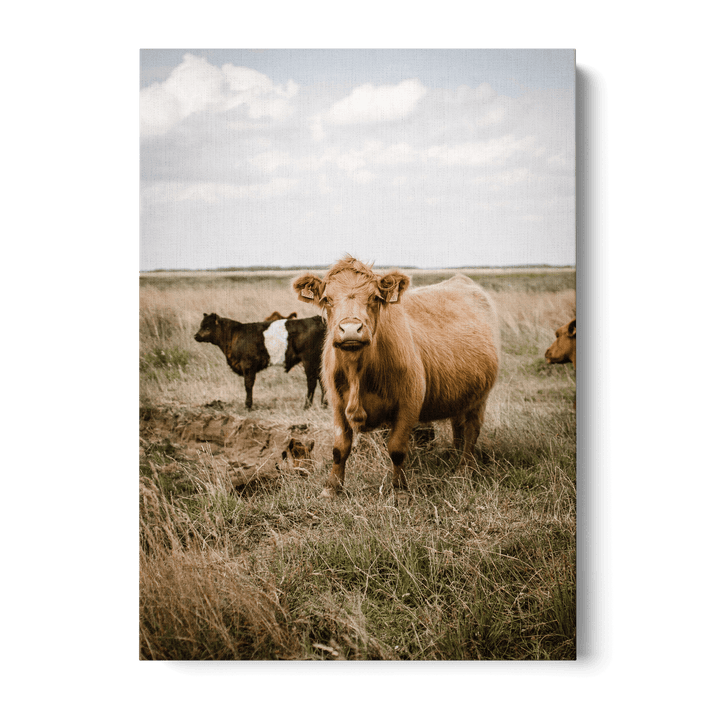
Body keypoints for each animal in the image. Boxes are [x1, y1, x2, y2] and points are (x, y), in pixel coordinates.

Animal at [193, 313, 326, 410]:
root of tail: (316, 318)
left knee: (312, 382)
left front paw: (248, 406)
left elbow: (248, 385)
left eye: (207, 327)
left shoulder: (248, 365)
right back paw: (324, 404)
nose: (196, 336)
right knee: (322, 380)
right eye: (201, 325)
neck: (234, 335)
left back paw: (307, 406)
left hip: (309, 360)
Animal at [293, 256, 500, 501]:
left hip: (480, 396)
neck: (358, 372)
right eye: (327, 299)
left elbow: (397, 449)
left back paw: (464, 469)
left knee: (471, 430)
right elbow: (340, 448)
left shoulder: (409, 403)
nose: (351, 329)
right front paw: (332, 488)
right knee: (458, 425)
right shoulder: (336, 404)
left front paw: (400, 490)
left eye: (374, 297)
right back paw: (453, 455)